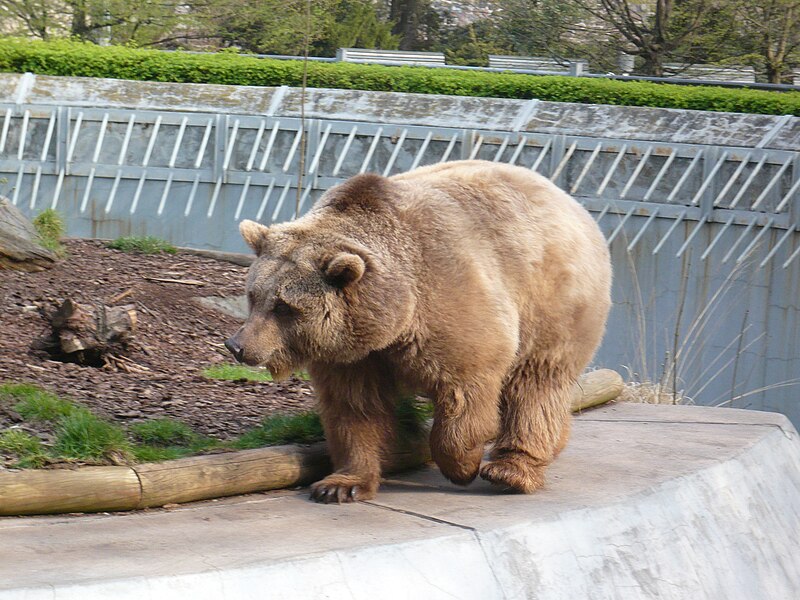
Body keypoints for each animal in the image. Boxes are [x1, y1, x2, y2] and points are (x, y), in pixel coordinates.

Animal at [227, 158, 612, 502]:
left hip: (553, 305)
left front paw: (462, 465)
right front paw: (340, 484)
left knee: (535, 387)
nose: (238, 345)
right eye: (254, 295)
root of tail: (569, 200)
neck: (391, 319)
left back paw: (511, 471)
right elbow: (355, 410)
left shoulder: (452, 307)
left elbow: (464, 396)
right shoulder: (352, 355)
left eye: (284, 307)